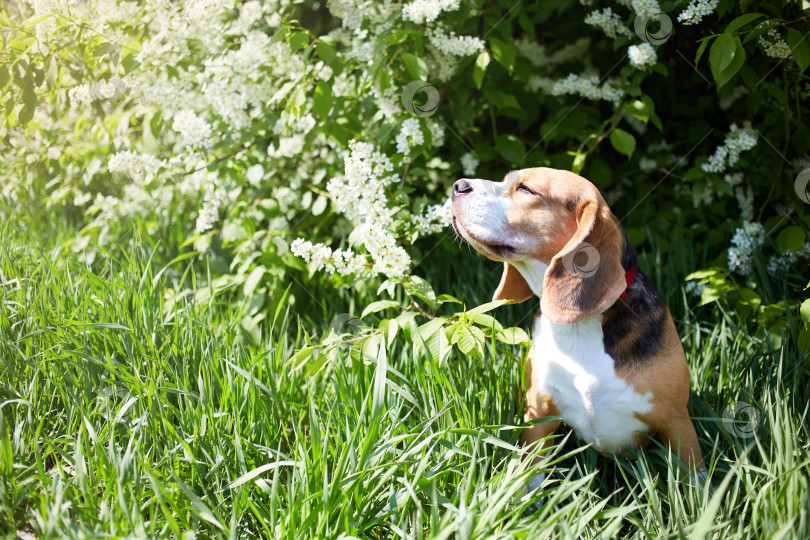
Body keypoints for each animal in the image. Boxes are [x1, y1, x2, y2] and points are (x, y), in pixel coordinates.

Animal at [452, 167, 704, 478]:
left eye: (526, 189)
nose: (458, 185)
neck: (579, 327)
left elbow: (694, 480)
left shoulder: (677, 422)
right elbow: (530, 474)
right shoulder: (539, 413)